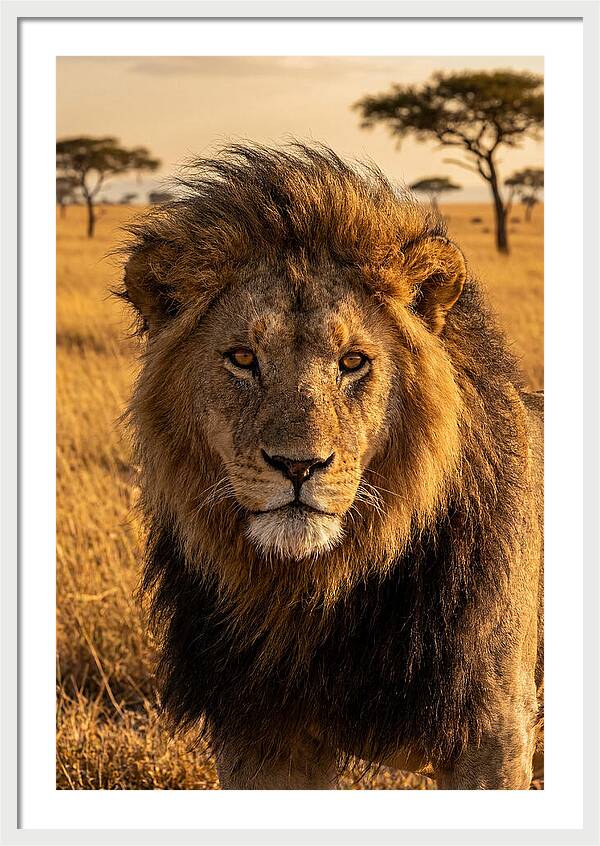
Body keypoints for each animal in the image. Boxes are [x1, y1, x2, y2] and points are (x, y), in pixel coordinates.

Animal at [119, 143, 544, 790]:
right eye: (242, 358)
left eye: (353, 361)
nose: (298, 466)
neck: (315, 593)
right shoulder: (260, 736)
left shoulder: (493, 732)